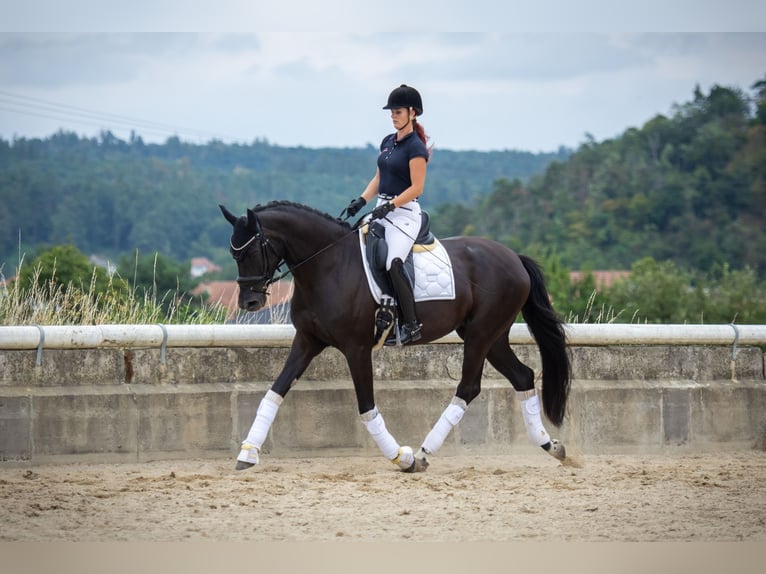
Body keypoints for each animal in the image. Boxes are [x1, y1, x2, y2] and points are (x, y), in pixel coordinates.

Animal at [220, 201, 568, 472]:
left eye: (250, 251)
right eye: (233, 253)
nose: (249, 303)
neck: (328, 265)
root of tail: (514, 257)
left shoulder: (356, 348)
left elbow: (366, 407)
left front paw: (402, 458)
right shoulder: (307, 341)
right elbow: (274, 392)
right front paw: (247, 453)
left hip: (481, 334)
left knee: (469, 388)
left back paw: (424, 453)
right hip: (490, 336)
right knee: (523, 376)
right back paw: (551, 446)